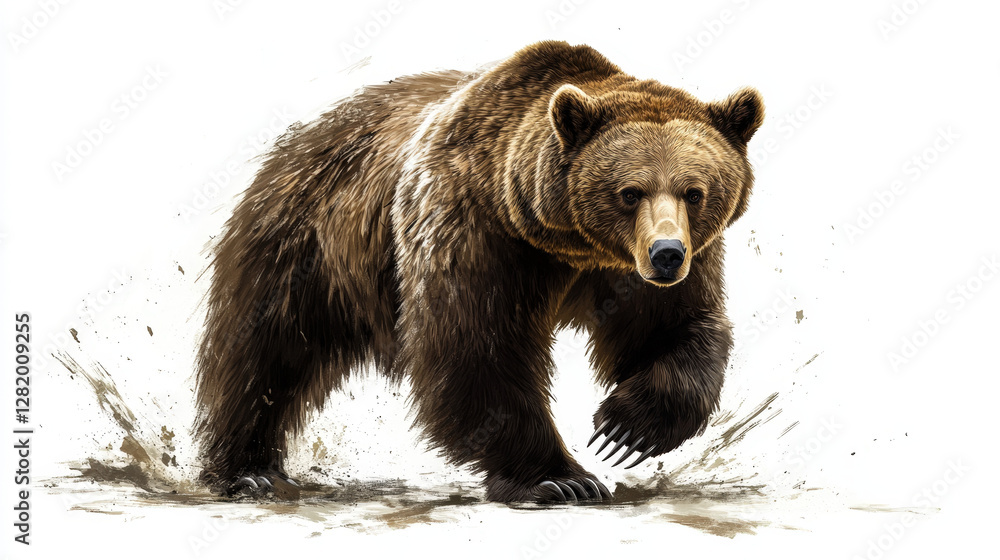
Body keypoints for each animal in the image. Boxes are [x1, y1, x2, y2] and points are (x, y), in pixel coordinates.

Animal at [195, 40, 764, 503]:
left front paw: (625, 429)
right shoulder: (476, 231)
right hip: (307, 240)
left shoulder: (635, 269)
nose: (667, 253)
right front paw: (561, 478)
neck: (564, 241)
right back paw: (248, 472)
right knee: (263, 348)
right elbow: (476, 348)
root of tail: (299, 137)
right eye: (629, 192)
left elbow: (673, 327)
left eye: (694, 192)